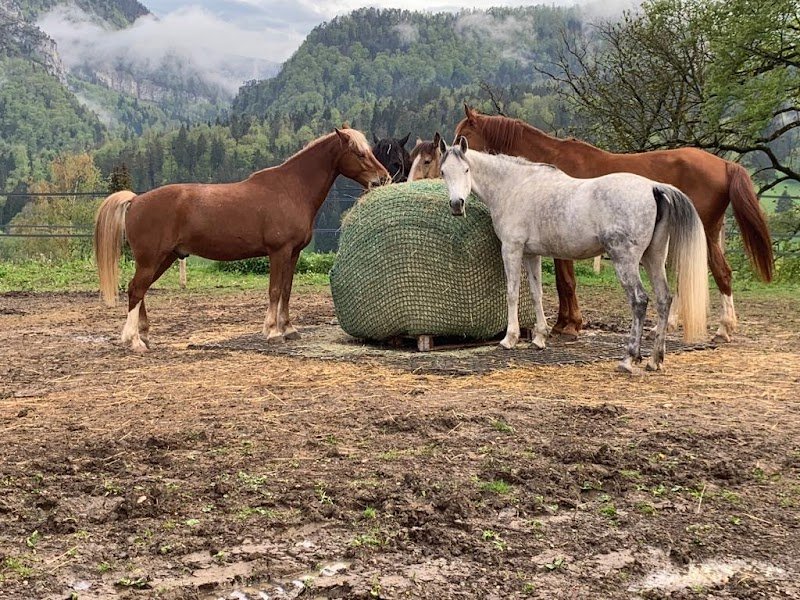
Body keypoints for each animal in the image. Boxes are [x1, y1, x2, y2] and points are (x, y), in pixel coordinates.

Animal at [94, 127, 389, 353]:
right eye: (359, 153)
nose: (383, 178)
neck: (291, 189)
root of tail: (135, 200)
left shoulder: (293, 253)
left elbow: (287, 290)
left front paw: (289, 329)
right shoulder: (278, 251)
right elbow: (274, 290)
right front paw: (272, 332)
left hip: (163, 259)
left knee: (140, 291)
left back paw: (144, 336)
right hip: (151, 259)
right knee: (136, 290)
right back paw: (134, 341)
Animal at [439, 136, 709, 373]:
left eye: (466, 170)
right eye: (443, 172)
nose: (456, 205)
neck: (515, 187)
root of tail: (653, 187)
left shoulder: (511, 249)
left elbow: (512, 293)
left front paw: (510, 338)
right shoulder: (531, 255)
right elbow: (536, 293)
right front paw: (539, 337)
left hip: (626, 260)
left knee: (640, 301)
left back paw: (629, 359)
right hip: (654, 258)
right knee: (664, 299)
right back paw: (655, 360)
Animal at [454, 105, 773, 343]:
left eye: (462, 136)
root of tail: (725, 164)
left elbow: (565, 282)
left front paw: (568, 325)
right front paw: (563, 324)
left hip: (704, 233)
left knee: (721, 273)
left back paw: (723, 328)